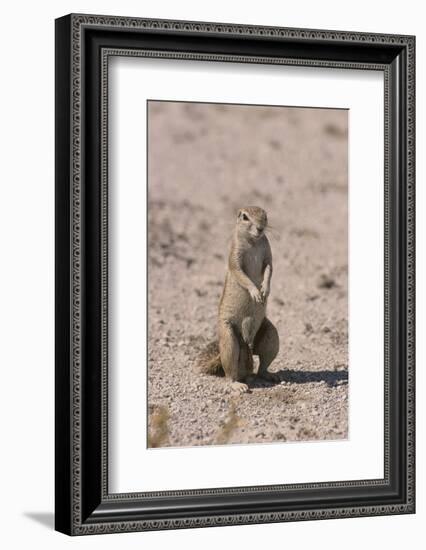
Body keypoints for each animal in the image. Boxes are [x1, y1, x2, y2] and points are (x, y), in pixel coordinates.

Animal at [197, 206, 280, 392]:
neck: (253, 242)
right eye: (245, 217)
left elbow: (269, 268)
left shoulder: (268, 253)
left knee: (261, 366)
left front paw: (265, 289)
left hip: (271, 336)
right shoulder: (235, 256)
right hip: (228, 340)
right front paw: (255, 292)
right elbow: (241, 274)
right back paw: (237, 385)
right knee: (230, 371)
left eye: (265, 215)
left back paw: (268, 375)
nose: (260, 228)